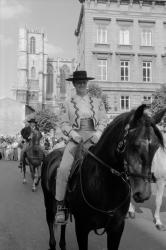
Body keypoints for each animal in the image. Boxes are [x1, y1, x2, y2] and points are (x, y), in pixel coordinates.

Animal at [41, 104, 165, 250]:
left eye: (157, 146)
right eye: (136, 145)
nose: (144, 194)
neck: (105, 186)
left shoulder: (116, 229)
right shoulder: (81, 228)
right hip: (49, 204)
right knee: (51, 223)